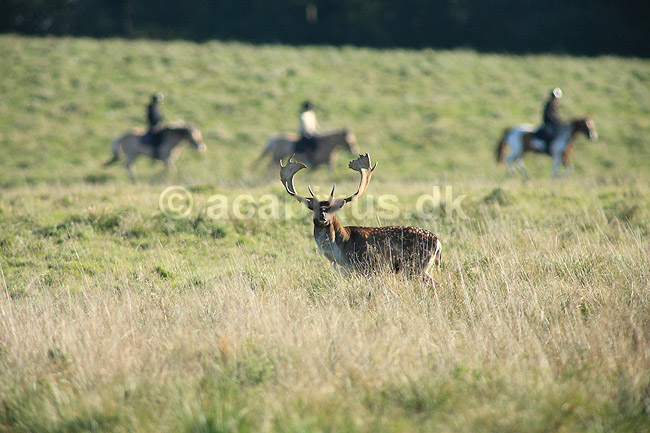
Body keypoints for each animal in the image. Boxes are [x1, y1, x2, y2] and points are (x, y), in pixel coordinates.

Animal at [280, 153, 442, 283]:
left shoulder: (367, 267)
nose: (322, 216)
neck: (339, 253)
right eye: (313, 208)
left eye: (332, 209)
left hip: (416, 265)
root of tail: (438, 242)